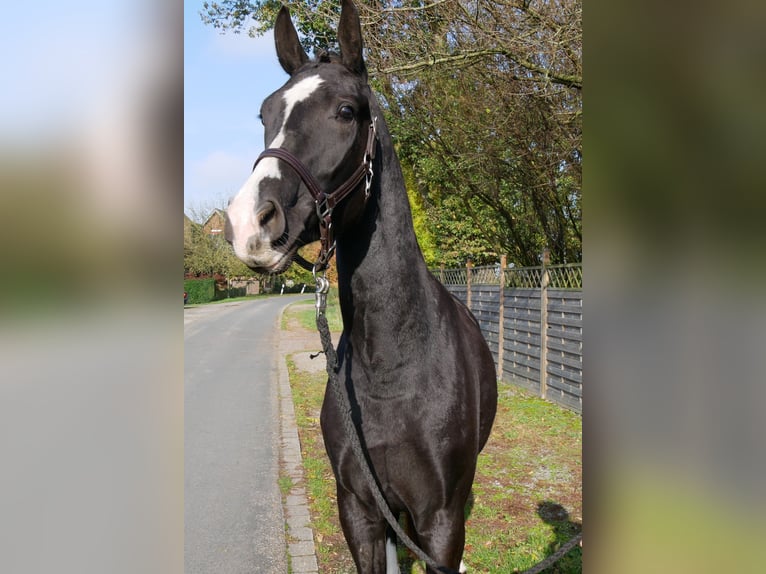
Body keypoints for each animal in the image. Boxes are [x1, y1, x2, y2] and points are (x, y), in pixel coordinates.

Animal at [224, 2, 498, 572]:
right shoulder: (359, 508)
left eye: (346, 111)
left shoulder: (441, 520)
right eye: (265, 114)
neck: (393, 367)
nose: (248, 223)